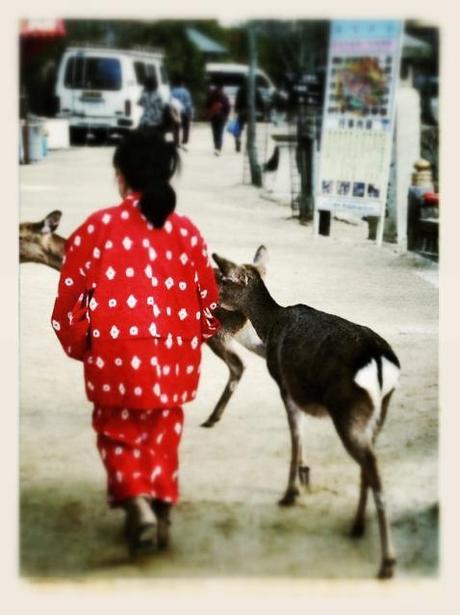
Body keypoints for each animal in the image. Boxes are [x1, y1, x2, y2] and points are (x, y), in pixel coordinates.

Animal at [214, 248, 400, 580]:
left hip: (349, 409)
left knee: (373, 466)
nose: (207, 296)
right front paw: (304, 477)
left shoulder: (284, 383)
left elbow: (295, 434)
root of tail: (381, 362)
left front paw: (291, 492)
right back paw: (357, 526)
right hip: (379, 412)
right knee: (369, 464)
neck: (270, 325)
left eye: (222, 278)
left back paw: (386, 562)